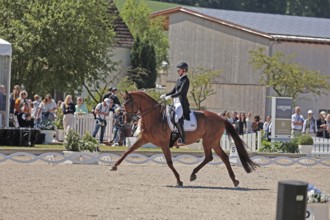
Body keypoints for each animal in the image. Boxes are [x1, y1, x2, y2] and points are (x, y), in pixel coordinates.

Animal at [111, 90, 258, 186]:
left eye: (129, 103)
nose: (127, 120)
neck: (155, 117)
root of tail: (221, 118)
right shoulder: (143, 139)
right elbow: (128, 151)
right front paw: (114, 166)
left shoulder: (164, 144)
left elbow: (169, 162)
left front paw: (179, 180)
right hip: (213, 142)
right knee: (222, 157)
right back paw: (234, 180)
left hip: (208, 141)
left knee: (210, 157)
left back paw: (194, 175)